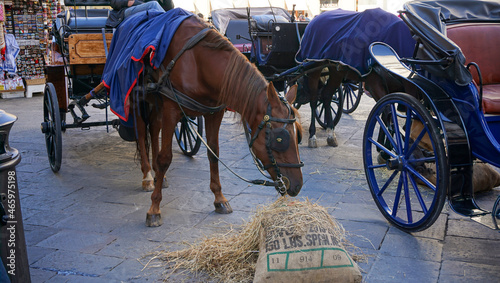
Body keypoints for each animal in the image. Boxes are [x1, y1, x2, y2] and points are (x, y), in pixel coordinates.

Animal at [131, 16, 302, 229]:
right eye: (280, 139)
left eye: (298, 136)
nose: (298, 185)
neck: (199, 63)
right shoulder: (171, 108)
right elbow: (165, 158)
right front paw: (154, 208)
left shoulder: (214, 113)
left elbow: (213, 153)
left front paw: (219, 198)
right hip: (136, 97)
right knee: (140, 130)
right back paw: (147, 176)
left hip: (156, 101)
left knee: (154, 127)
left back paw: (157, 176)